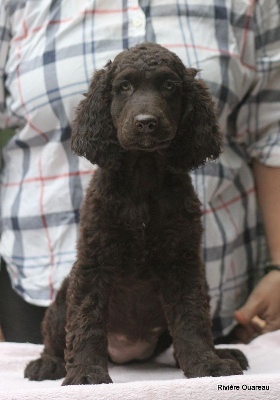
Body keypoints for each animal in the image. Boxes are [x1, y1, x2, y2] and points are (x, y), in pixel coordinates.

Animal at [24, 43, 247, 384]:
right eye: (124, 87)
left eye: (169, 86)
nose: (146, 122)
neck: (142, 180)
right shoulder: (94, 261)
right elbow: (86, 321)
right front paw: (86, 373)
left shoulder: (182, 261)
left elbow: (192, 320)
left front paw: (207, 365)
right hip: (64, 293)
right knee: (56, 333)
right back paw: (47, 363)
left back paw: (225, 352)